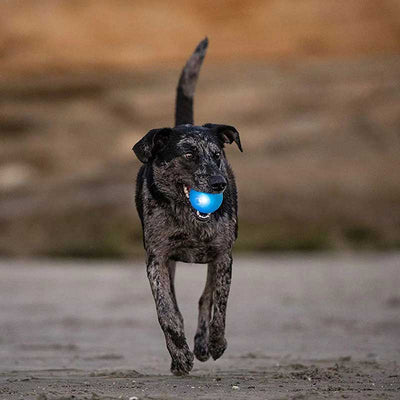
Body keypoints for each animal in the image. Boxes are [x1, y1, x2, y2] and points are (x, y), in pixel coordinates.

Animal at [133, 37, 242, 376]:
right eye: (189, 154)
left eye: (217, 154)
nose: (219, 184)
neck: (189, 219)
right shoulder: (156, 259)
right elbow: (167, 313)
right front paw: (180, 355)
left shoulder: (223, 256)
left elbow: (218, 305)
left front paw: (215, 343)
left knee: (205, 299)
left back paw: (204, 344)